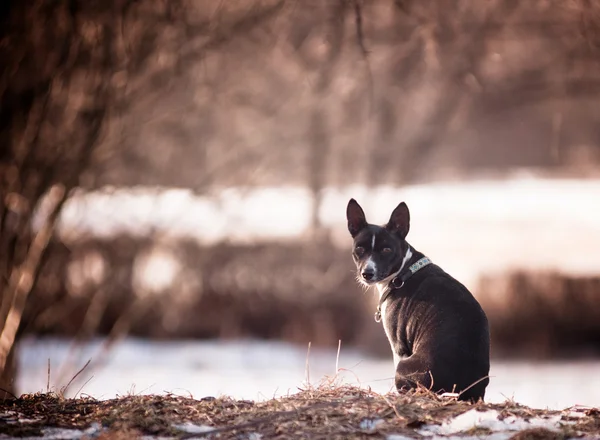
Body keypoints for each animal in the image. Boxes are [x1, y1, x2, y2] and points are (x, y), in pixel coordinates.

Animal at [344, 199, 490, 402]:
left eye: (387, 249)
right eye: (359, 249)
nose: (367, 273)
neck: (403, 272)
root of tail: (462, 390)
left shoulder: (398, 347)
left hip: (403, 367)